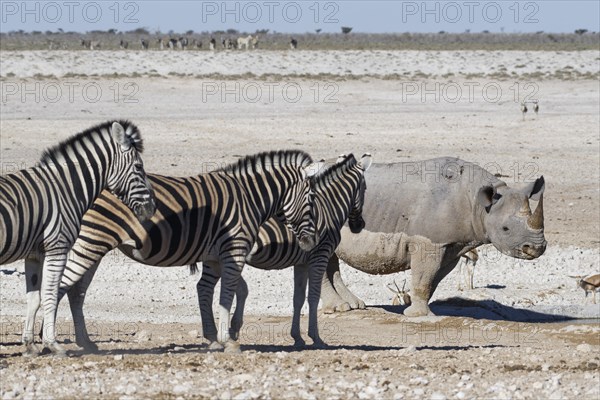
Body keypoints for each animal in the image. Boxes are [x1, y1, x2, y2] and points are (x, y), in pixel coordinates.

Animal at [0, 121, 155, 356]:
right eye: (138, 167)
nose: (152, 209)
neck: (66, 189)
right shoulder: (57, 248)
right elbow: (51, 294)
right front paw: (52, 344)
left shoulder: (34, 255)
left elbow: (34, 298)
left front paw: (29, 345)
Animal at [52, 151, 324, 354]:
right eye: (311, 199)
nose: (311, 242)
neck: (250, 199)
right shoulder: (234, 251)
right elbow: (227, 295)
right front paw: (228, 340)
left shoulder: (214, 257)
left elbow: (209, 291)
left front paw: (214, 337)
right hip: (92, 240)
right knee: (62, 285)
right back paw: (48, 342)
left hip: (94, 244)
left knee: (76, 290)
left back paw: (85, 343)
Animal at [199, 153, 372, 346]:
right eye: (365, 188)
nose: (359, 226)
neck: (329, 207)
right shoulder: (320, 256)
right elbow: (313, 297)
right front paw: (316, 337)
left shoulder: (301, 263)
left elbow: (298, 299)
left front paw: (297, 337)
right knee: (208, 287)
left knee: (204, 287)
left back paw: (215, 335)